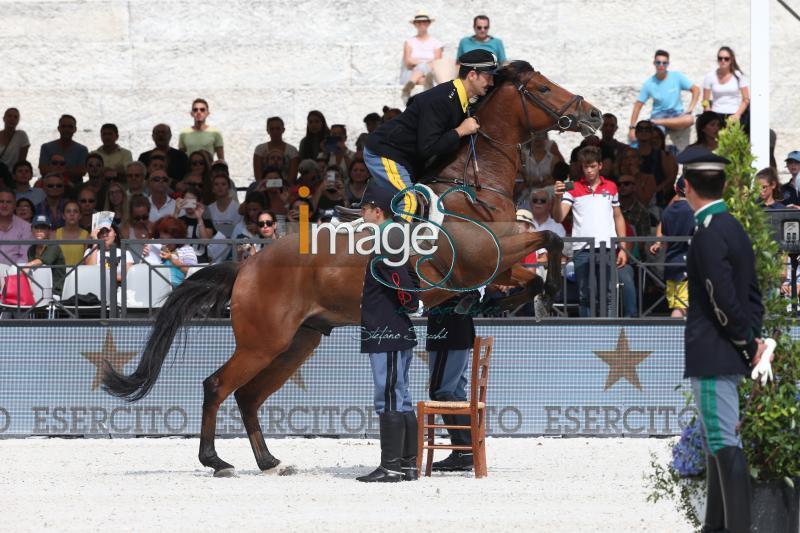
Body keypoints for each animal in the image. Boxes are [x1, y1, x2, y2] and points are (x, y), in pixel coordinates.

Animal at [103, 61, 600, 474]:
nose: (593, 115)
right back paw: (216, 461)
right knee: (217, 385)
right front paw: (540, 295)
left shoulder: (494, 265)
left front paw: (508, 302)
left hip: (296, 344)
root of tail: (247, 267)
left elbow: (534, 264)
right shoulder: (483, 256)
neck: (476, 186)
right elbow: (549, 242)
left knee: (246, 395)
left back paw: (268, 461)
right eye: (542, 87)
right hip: (264, 342)